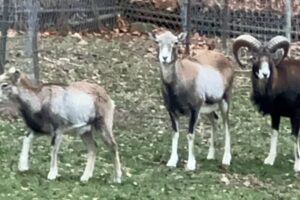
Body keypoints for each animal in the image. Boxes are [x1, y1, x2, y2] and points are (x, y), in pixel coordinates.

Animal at [149, 30, 236, 170]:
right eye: (157, 42)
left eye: (175, 42)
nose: (164, 58)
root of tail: (225, 60)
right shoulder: (172, 111)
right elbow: (175, 133)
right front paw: (172, 162)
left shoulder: (194, 110)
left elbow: (190, 135)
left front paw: (190, 165)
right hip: (208, 109)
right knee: (215, 120)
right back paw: (210, 155)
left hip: (224, 103)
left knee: (226, 125)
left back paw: (226, 159)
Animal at [233, 34, 300, 172]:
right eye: (254, 58)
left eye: (270, 59)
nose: (265, 74)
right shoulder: (275, 115)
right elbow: (274, 134)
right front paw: (269, 160)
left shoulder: (296, 114)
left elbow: (294, 136)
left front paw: (297, 166)